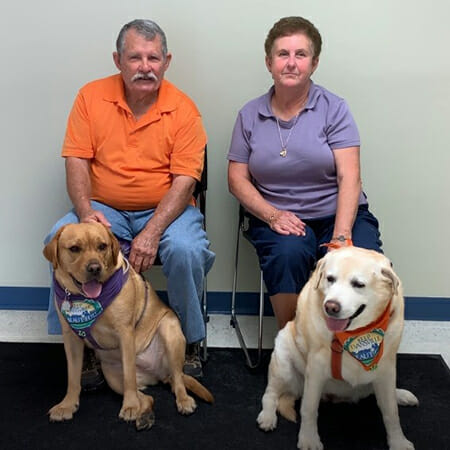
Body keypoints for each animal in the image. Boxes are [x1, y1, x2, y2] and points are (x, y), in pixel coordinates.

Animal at [44, 221, 214, 428]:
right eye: (74, 248)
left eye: (102, 246)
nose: (95, 268)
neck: (87, 300)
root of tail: (159, 372)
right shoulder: (71, 339)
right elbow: (72, 377)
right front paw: (67, 405)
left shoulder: (125, 333)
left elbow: (129, 376)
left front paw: (130, 405)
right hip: (113, 378)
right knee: (150, 398)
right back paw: (144, 416)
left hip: (169, 330)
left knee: (178, 380)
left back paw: (182, 401)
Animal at [256, 246, 418, 450]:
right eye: (330, 279)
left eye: (358, 284)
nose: (330, 306)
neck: (357, 333)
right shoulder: (315, 369)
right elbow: (309, 408)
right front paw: (309, 439)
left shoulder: (386, 369)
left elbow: (391, 412)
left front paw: (398, 441)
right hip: (283, 363)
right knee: (270, 394)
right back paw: (267, 417)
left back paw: (401, 395)